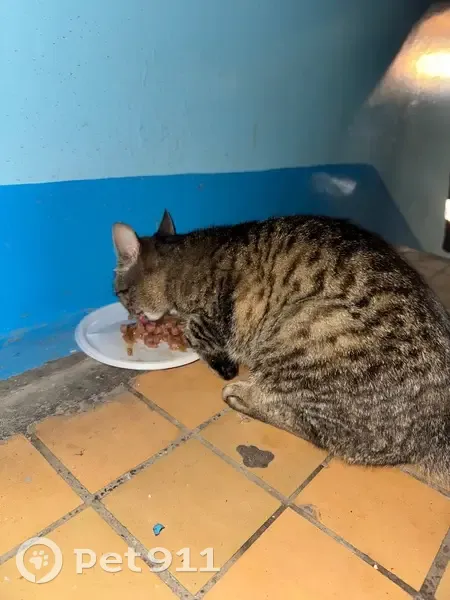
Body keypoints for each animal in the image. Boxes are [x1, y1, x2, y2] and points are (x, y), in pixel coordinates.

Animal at [112, 210, 450, 485]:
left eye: (119, 293)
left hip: (302, 330)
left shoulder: (213, 321)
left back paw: (242, 395)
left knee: (314, 430)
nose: (129, 315)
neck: (181, 262)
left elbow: (197, 332)